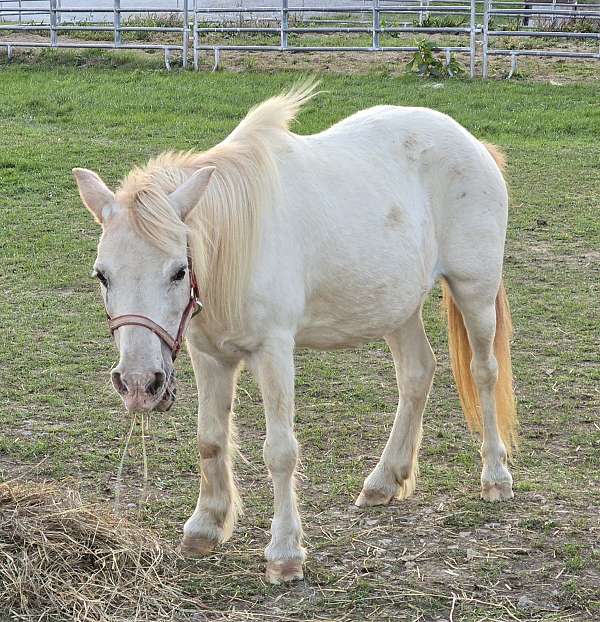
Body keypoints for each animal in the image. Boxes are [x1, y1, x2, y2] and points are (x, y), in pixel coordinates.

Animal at [74, 81, 516, 584]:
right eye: (102, 275)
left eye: (178, 271)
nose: (137, 383)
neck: (234, 244)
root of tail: (474, 144)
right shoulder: (208, 353)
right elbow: (210, 439)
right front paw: (205, 526)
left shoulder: (274, 352)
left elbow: (280, 451)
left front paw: (285, 552)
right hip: (397, 307)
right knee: (417, 373)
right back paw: (385, 479)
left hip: (474, 290)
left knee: (484, 371)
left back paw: (495, 476)